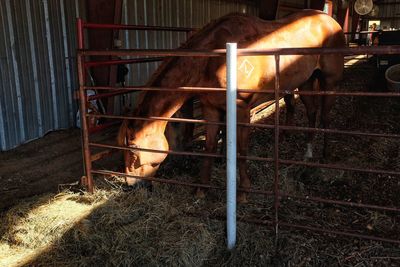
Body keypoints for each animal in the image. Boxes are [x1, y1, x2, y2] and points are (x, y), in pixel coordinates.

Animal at [117, 9, 346, 203]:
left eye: (134, 152)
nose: (130, 186)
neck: (214, 59)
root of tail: (329, 20)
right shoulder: (211, 109)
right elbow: (210, 147)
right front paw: (202, 188)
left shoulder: (242, 110)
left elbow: (242, 149)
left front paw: (243, 191)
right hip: (306, 82)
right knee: (312, 112)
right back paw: (308, 154)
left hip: (330, 82)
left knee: (325, 117)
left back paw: (325, 156)